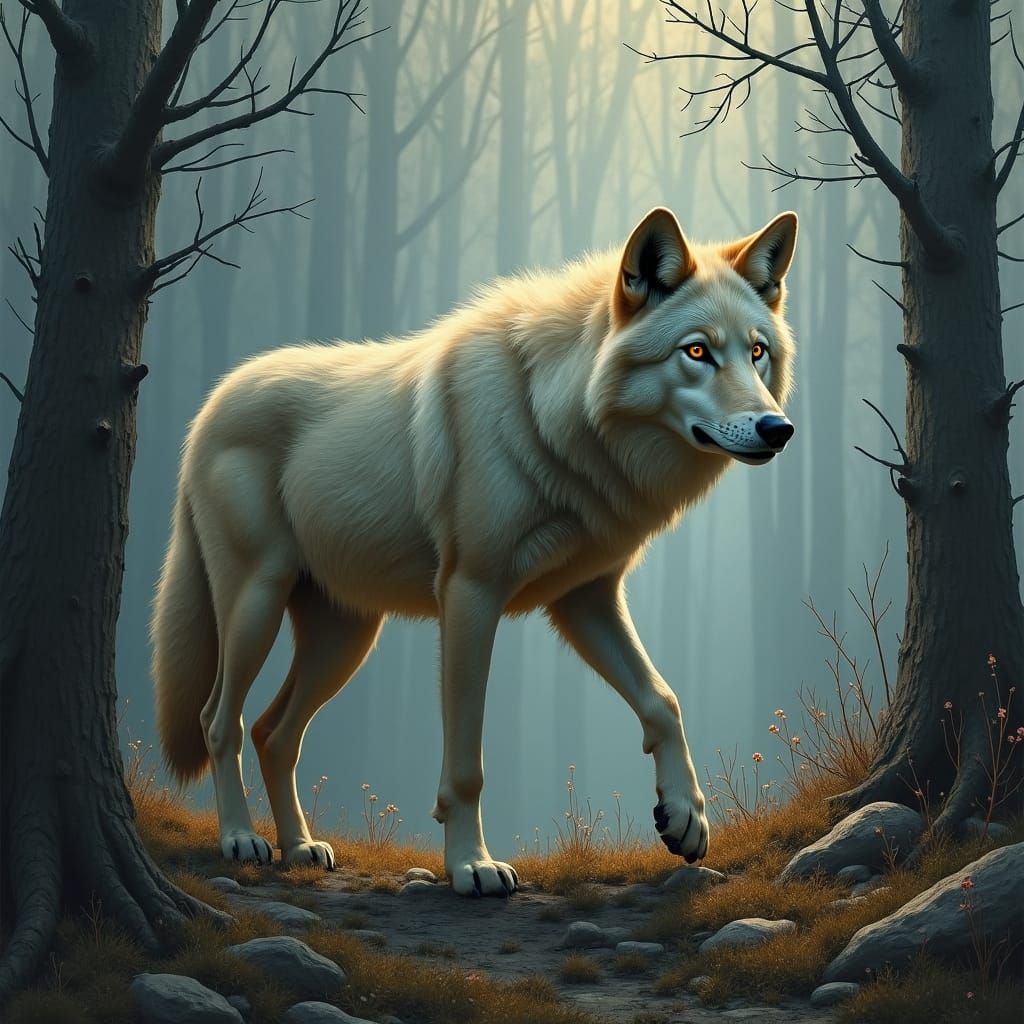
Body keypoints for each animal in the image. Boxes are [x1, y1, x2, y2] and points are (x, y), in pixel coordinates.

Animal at [151, 206, 798, 897]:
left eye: (757, 352)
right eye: (697, 351)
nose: (779, 429)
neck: (549, 414)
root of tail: (208, 407)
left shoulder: (586, 600)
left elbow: (664, 700)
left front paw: (685, 818)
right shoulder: (470, 595)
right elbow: (466, 762)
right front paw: (471, 865)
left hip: (345, 639)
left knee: (274, 733)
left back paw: (300, 847)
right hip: (257, 603)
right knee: (218, 720)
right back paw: (239, 839)